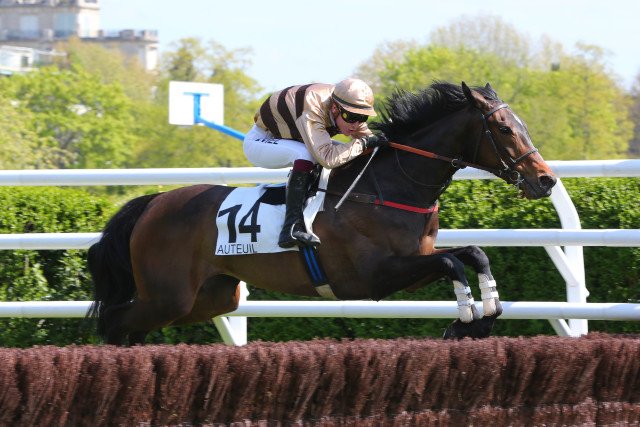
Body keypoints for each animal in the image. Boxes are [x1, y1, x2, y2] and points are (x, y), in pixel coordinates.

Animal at [87, 81, 557, 345]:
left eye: (521, 125)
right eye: (504, 129)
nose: (546, 179)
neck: (386, 187)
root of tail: (153, 202)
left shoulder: (412, 261)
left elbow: (473, 254)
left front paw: (484, 317)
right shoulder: (373, 276)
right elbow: (450, 263)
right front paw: (466, 321)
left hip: (207, 297)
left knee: (133, 327)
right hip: (168, 295)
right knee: (113, 321)